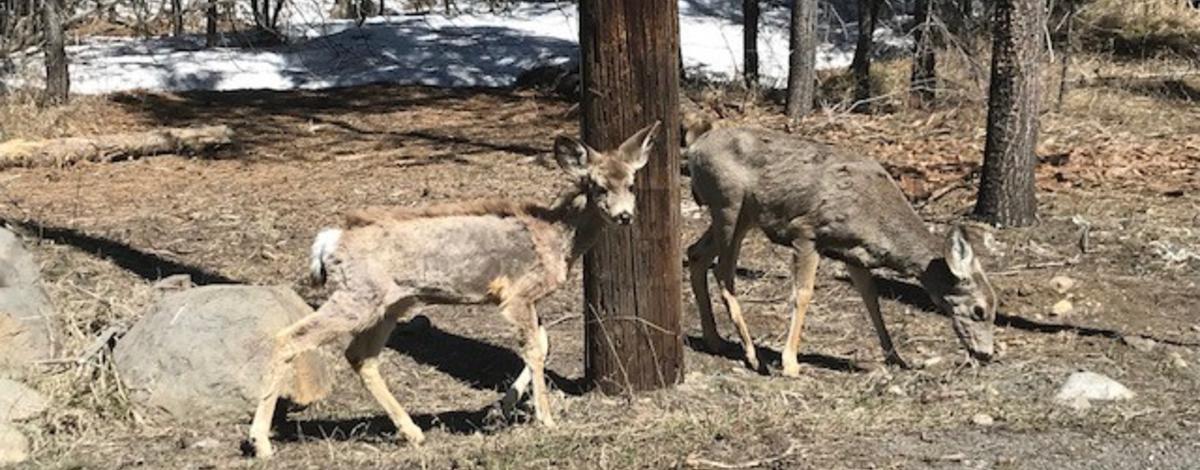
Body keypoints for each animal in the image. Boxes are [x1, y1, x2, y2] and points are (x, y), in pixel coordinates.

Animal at [248, 122, 661, 458]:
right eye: (597, 186)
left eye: (631, 183)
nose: (625, 216)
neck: (558, 238)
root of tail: (330, 241)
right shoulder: (517, 294)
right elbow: (534, 349)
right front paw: (546, 419)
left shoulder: (526, 299)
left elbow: (543, 344)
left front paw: (500, 409)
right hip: (357, 297)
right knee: (290, 338)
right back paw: (261, 442)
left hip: (390, 304)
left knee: (359, 356)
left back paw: (413, 432)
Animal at [684, 125, 996, 377]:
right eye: (979, 310)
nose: (986, 354)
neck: (874, 215)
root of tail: (694, 149)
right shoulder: (807, 232)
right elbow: (803, 294)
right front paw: (790, 363)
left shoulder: (854, 254)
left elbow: (871, 299)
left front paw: (897, 358)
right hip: (730, 205)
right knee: (723, 272)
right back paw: (752, 356)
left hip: (741, 216)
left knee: (695, 254)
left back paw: (714, 339)